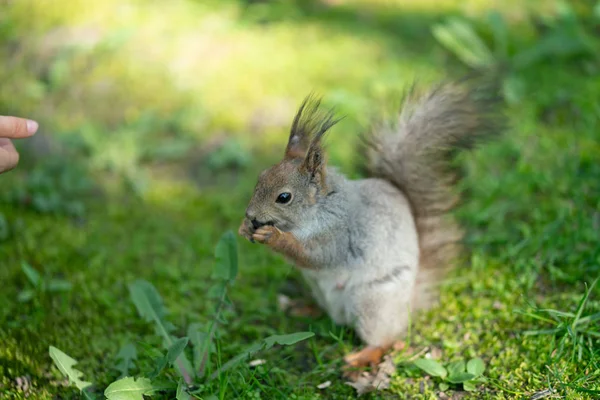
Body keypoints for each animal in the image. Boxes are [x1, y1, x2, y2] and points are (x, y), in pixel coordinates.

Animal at [237, 77, 504, 368]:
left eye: (284, 197)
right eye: (261, 177)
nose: (251, 215)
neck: (320, 207)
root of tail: (408, 304)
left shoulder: (339, 233)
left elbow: (315, 256)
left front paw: (274, 237)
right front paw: (244, 228)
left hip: (372, 303)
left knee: (385, 339)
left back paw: (359, 358)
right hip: (324, 293)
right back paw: (303, 307)